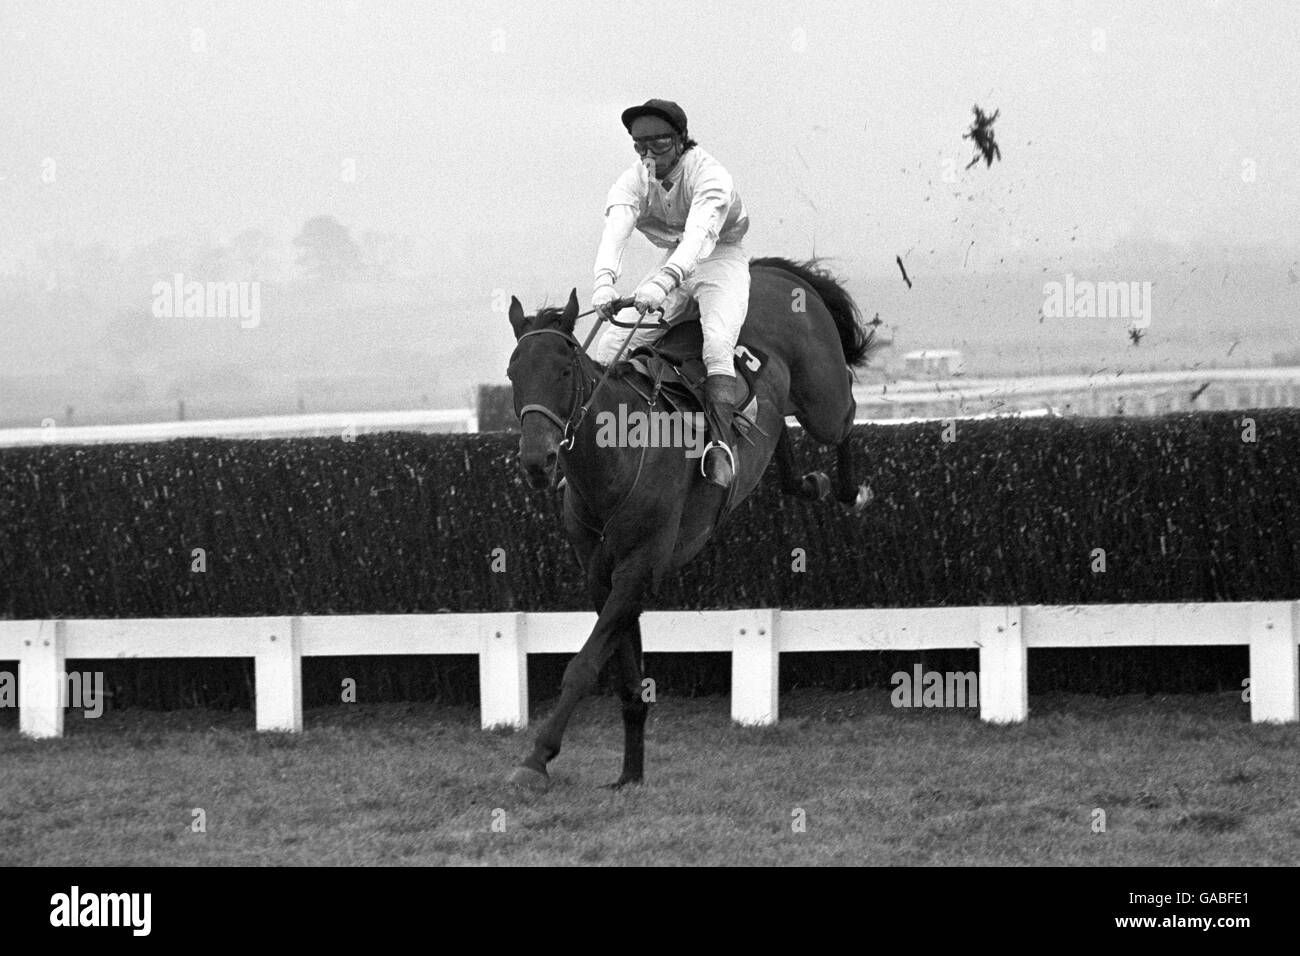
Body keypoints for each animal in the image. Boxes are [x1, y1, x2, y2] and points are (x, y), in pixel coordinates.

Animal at [501, 257, 878, 790]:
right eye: (513, 372)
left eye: (563, 369)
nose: (538, 460)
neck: (618, 459)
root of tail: (772, 272)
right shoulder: (601, 574)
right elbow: (626, 675)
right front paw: (630, 775)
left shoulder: (640, 567)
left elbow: (584, 664)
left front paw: (537, 757)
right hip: (776, 414)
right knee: (778, 442)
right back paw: (810, 482)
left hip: (821, 396)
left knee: (845, 416)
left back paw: (851, 489)